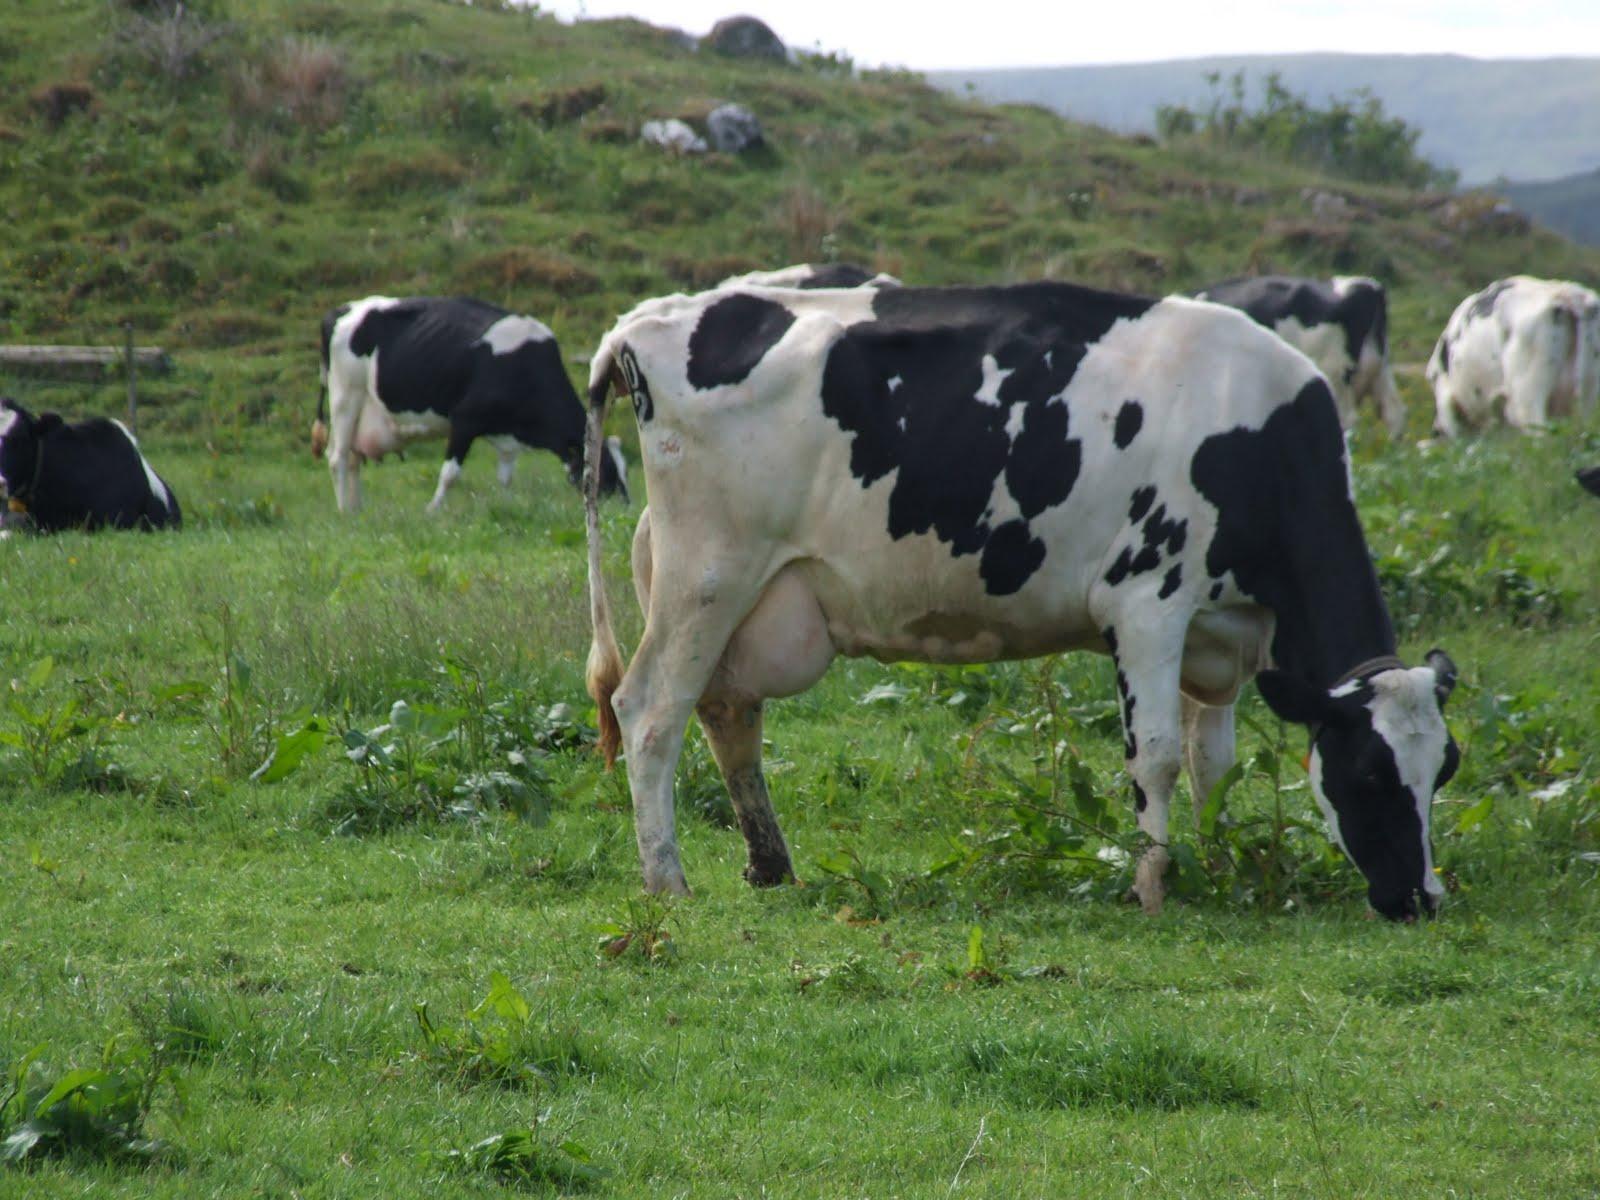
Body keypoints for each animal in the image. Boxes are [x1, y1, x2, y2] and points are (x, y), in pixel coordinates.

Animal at [313, 296, 628, 512]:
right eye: (604, 470)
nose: (625, 508)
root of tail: (339, 310)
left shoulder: (506, 433)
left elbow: (505, 476)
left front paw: (507, 504)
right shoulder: (464, 419)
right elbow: (450, 474)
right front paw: (432, 510)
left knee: (353, 458)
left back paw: (357, 509)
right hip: (346, 396)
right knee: (337, 457)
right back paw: (344, 512)